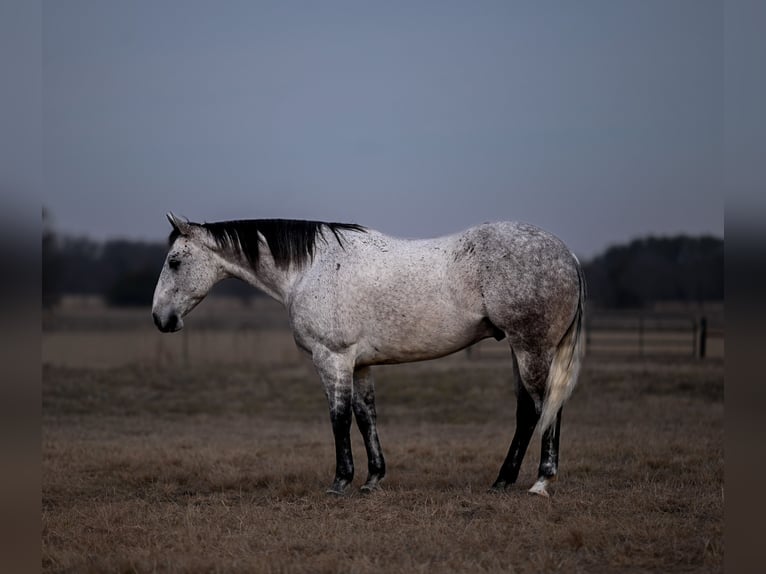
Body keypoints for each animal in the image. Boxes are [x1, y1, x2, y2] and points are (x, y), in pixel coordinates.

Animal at [152, 213, 586, 497]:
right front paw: (373, 479)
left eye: (175, 261)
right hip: (519, 349)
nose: (160, 318)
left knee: (543, 407)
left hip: (531, 348)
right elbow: (365, 417)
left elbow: (339, 418)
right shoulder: (359, 364)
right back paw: (503, 480)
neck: (310, 268)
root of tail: (569, 254)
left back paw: (540, 481)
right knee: (528, 411)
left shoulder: (332, 358)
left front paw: (341, 480)